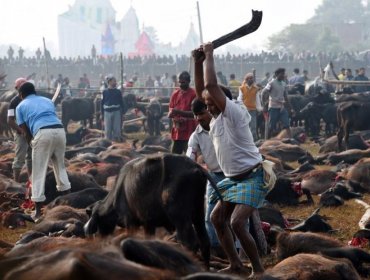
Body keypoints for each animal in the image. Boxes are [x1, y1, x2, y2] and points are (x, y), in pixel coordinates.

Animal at [84, 153, 220, 266]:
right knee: (204, 241)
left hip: (180, 217)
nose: (100, 239)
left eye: (99, 222)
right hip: (198, 214)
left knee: (190, 243)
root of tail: (197, 167)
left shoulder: (131, 222)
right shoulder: (148, 224)